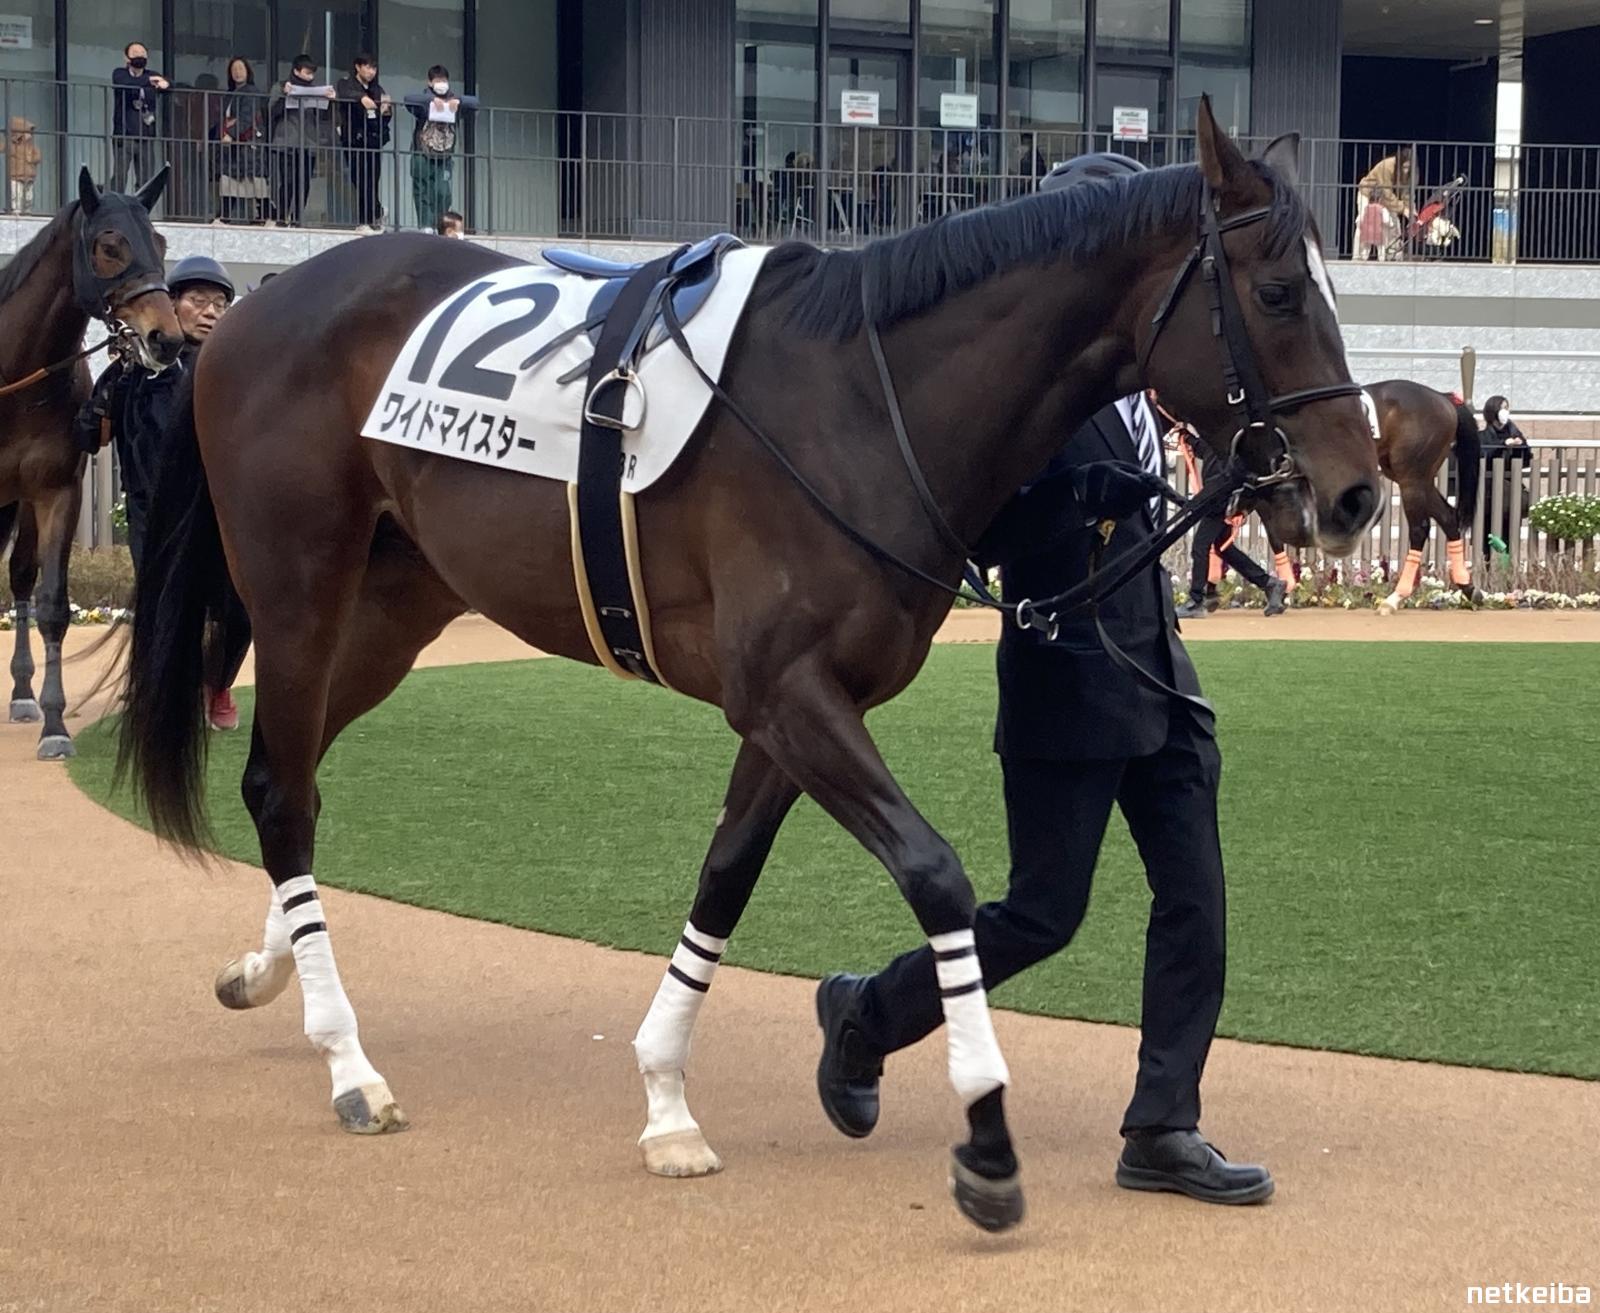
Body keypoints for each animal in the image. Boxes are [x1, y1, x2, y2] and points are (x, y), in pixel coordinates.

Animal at [0, 167, 183, 758]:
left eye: (160, 242)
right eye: (109, 245)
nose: (165, 338)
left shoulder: (58, 490)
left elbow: (53, 603)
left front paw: (55, 725)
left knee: (20, 576)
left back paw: (22, 693)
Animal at [114, 100, 1380, 1231]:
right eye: (1277, 292)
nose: (1356, 494)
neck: (862, 399)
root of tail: (250, 314)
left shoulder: (792, 707)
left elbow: (725, 873)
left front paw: (668, 1099)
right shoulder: (790, 692)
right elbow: (936, 875)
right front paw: (984, 1134)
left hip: (398, 601)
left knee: (292, 775)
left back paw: (267, 967)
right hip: (299, 588)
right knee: (280, 785)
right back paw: (349, 1062)